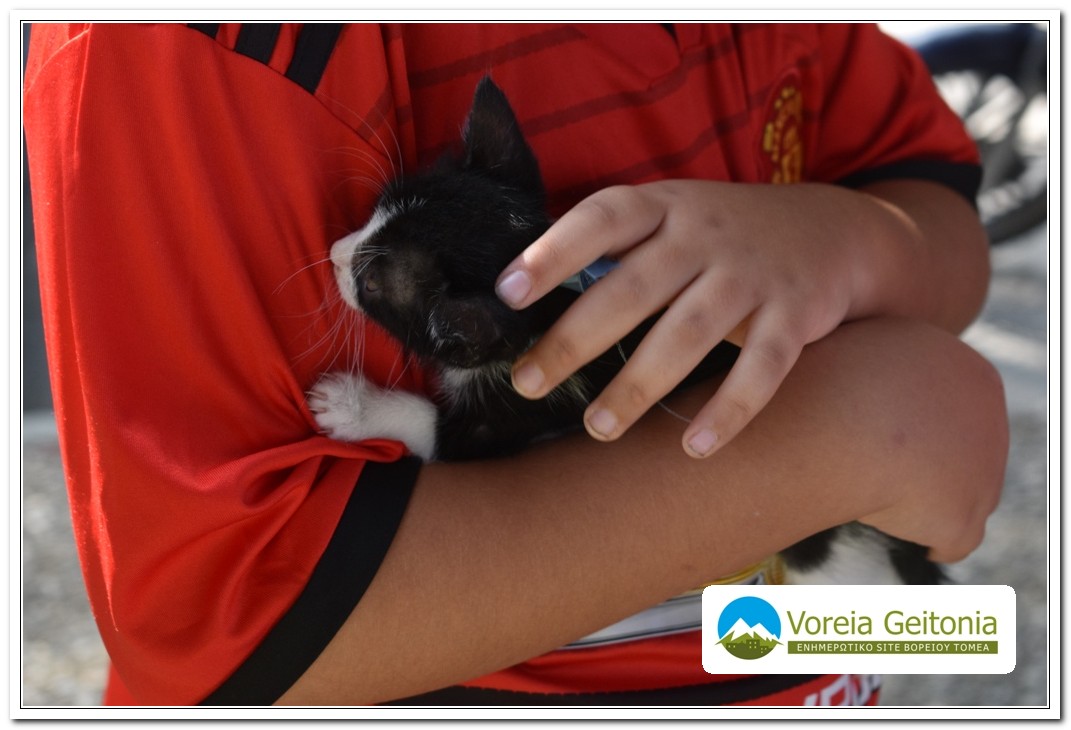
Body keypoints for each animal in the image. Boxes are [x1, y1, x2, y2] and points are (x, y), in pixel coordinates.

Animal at [309, 76, 944, 585]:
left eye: (373, 285)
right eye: (377, 208)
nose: (335, 253)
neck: (549, 310)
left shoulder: (527, 404)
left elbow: (446, 434)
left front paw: (353, 406)